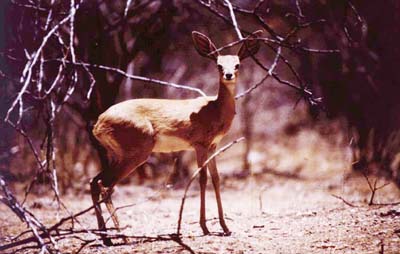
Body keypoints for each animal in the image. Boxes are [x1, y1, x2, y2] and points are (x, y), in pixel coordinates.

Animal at [89, 30, 260, 245]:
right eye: (218, 65)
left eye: (237, 64)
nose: (228, 75)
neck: (214, 108)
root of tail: (99, 122)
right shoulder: (200, 146)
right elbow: (202, 179)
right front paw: (205, 227)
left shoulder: (212, 147)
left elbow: (216, 179)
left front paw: (225, 227)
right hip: (135, 157)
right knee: (105, 186)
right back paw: (123, 236)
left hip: (117, 157)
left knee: (94, 182)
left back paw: (106, 238)